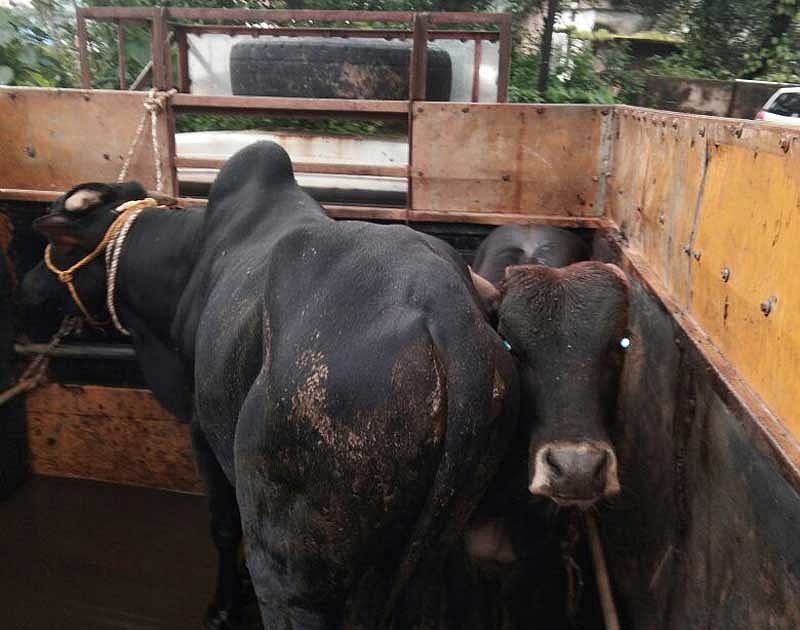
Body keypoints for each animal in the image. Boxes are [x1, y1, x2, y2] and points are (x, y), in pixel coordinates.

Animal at [21, 141, 520, 629]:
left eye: (58, 246)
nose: (27, 285)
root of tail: (447, 314)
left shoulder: (200, 425)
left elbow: (223, 526)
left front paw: (223, 606)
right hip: (432, 544)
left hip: (286, 553)